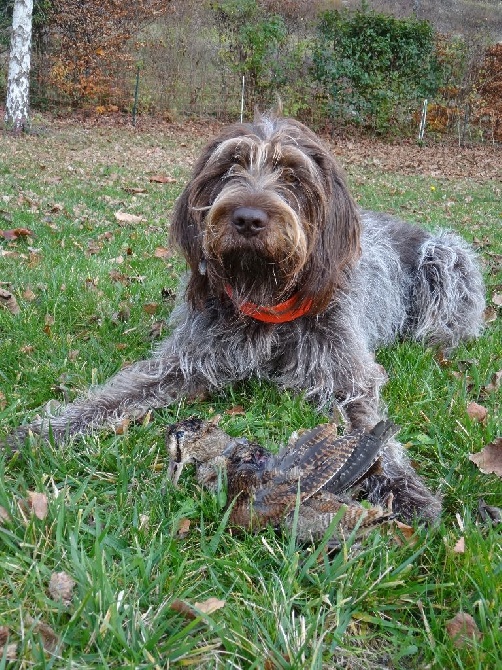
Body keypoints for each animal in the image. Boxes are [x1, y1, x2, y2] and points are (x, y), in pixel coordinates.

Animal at [6, 115, 486, 524]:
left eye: (293, 175)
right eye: (229, 166)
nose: (248, 218)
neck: (267, 296)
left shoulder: (346, 376)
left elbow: (371, 429)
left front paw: (403, 490)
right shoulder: (184, 362)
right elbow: (114, 396)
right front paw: (45, 431)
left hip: (446, 255)